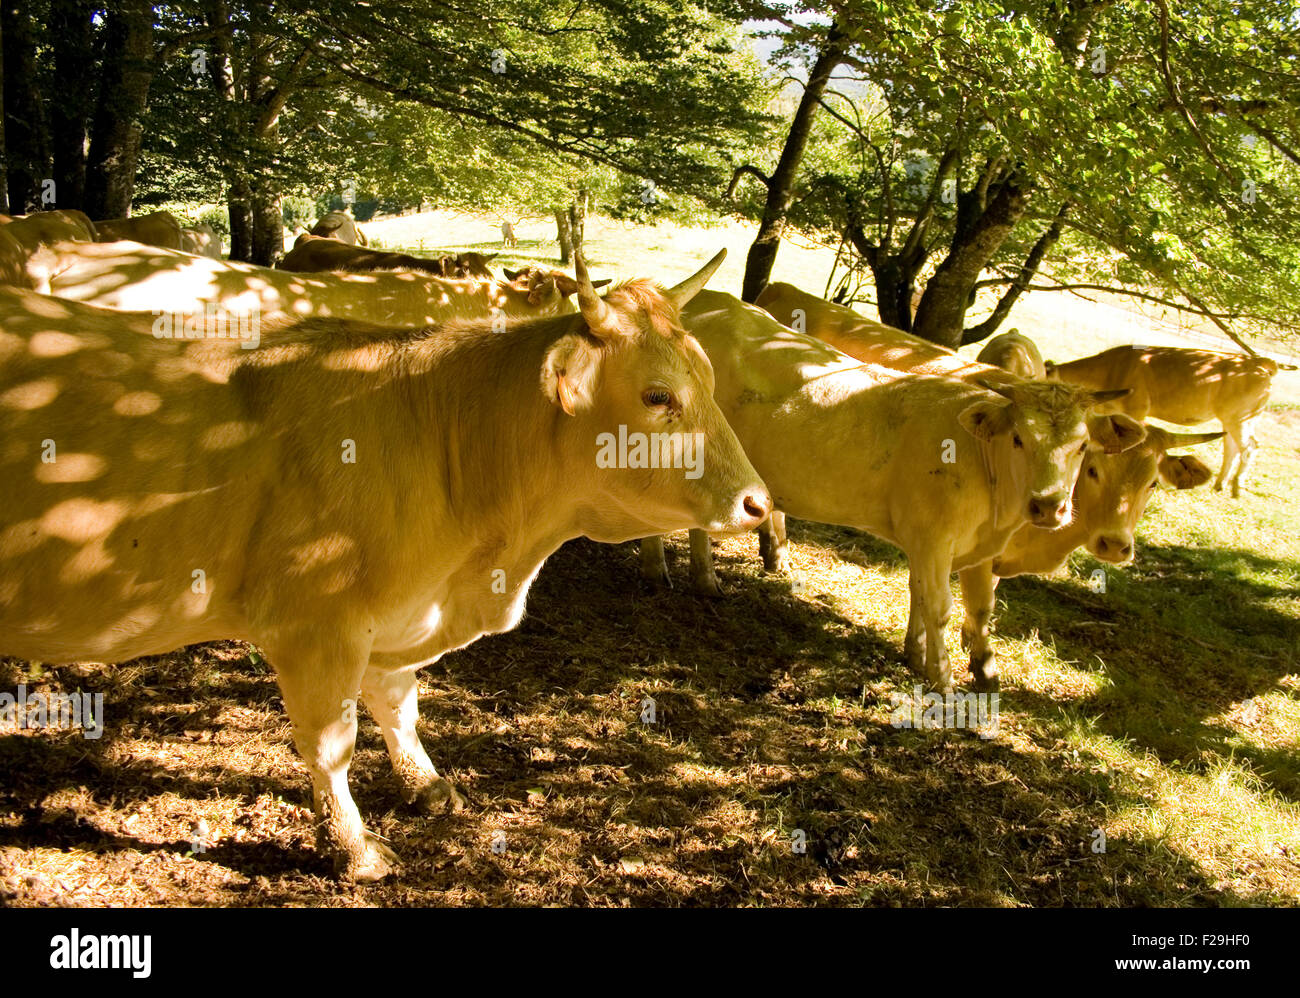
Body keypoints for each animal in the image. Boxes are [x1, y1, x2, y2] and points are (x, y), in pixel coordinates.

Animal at [0, 251, 770, 881]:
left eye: (708, 379)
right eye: (658, 395)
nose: (758, 503)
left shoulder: (392, 613)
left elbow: (399, 706)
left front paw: (427, 785)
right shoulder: (317, 626)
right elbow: (331, 743)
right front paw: (354, 847)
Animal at [641, 292, 1139, 692]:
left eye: (1083, 447)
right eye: (1019, 438)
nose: (1048, 505)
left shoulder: (940, 545)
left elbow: (944, 601)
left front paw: (928, 660)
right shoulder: (935, 540)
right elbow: (939, 606)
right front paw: (942, 679)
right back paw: (674, 573)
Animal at [1044, 345, 1294, 497]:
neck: (1111, 369)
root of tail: (1259, 362)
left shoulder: (1136, 411)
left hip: (1241, 418)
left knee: (1249, 447)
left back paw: (1236, 488)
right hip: (1232, 420)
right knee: (1231, 447)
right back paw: (1219, 484)